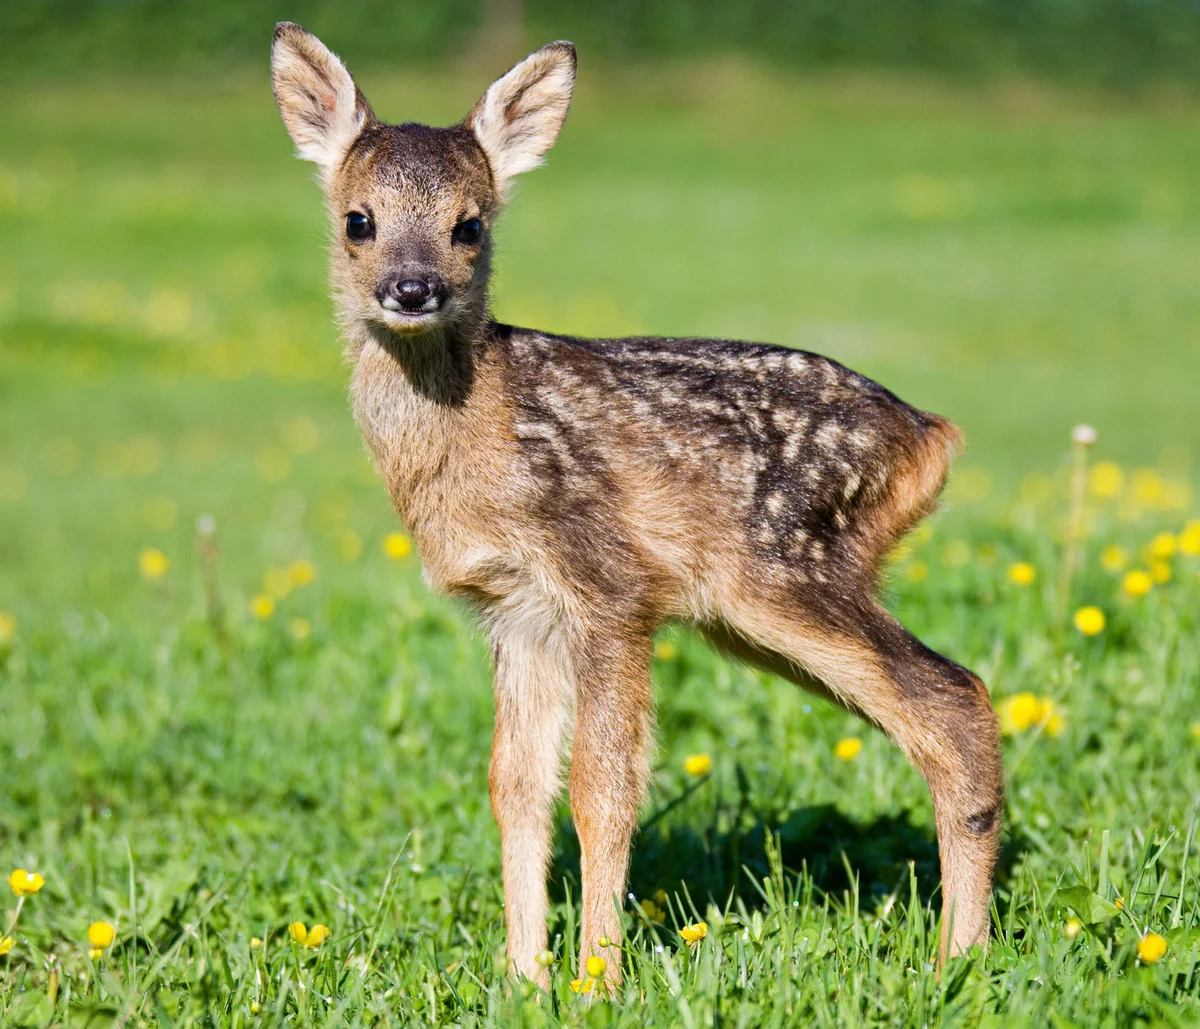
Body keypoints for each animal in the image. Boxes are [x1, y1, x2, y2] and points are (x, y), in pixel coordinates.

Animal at [270, 23, 1003, 990]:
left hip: (785, 560)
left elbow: (603, 788)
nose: (414, 287)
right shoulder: (516, 609)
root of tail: (930, 438)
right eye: (359, 219)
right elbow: (516, 787)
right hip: (755, 606)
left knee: (955, 697)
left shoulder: (611, 586)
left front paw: (598, 979)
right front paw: (525, 977)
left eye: (471, 223)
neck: (482, 425)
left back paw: (958, 959)